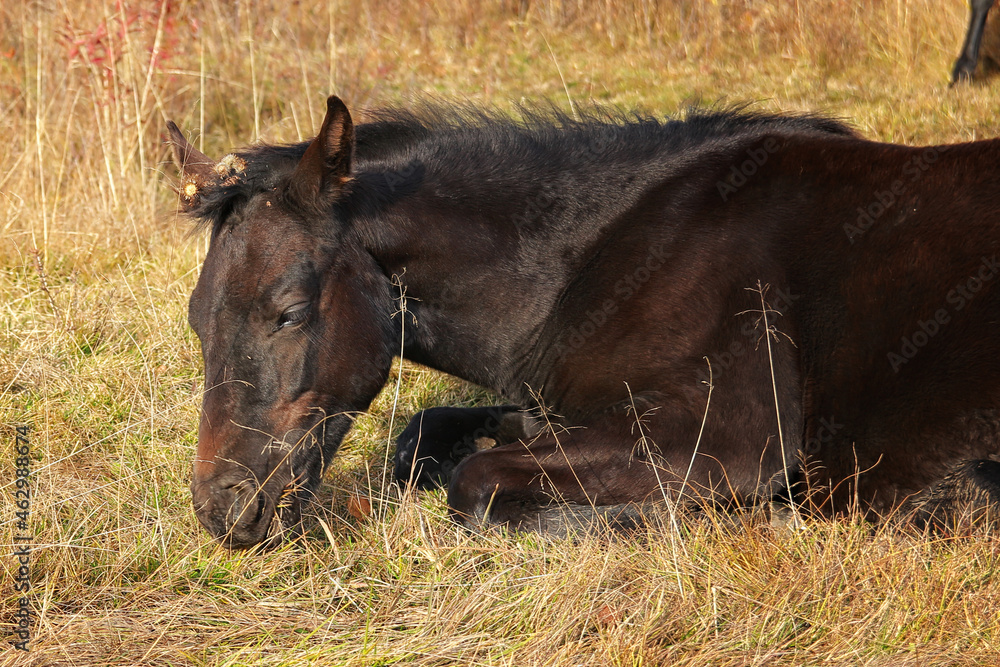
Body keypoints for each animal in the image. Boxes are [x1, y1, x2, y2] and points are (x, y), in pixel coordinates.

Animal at [168, 96, 1000, 549]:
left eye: (290, 311)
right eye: (197, 324)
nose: (222, 511)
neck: (599, 254)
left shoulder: (717, 441)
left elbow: (474, 481)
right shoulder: (563, 410)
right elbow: (428, 438)